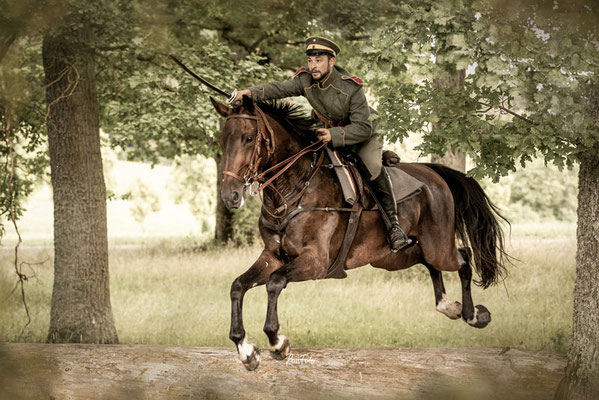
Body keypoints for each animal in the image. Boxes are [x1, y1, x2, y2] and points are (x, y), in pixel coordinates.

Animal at [211, 95, 510, 370]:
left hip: (437, 246)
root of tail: (432, 173)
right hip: (393, 257)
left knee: (462, 257)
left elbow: (274, 283)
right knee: (430, 262)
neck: (294, 188)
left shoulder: (315, 261)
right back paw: (449, 306)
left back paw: (473, 315)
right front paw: (245, 349)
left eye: (249, 138)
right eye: (223, 140)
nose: (230, 196)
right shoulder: (272, 256)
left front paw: (277, 341)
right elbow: (238, 285)